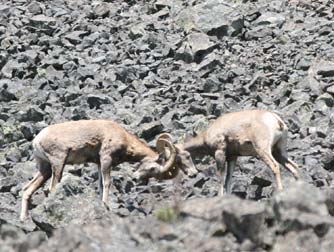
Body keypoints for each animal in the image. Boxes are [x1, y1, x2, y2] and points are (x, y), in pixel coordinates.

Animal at [19, 119, 197, 220]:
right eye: (153, 168)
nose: (135, 178)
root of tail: (37, 140)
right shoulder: (106, 159)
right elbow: (107, 183)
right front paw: (106, 205)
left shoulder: (99, 164)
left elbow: (99, 185)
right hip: (58, 163)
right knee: (51, 188)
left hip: (45, 169)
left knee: (27, 189)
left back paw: (24, 219)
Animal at [167, 110, 300, 195]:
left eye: (187, 156)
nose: (192, 174)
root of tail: (276, 120)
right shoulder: (232, 158)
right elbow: (228, 180)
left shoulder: (220, 153)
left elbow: (220, 178)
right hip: (279, 151)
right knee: (294, 167)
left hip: (263, 150)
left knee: (275, 166)